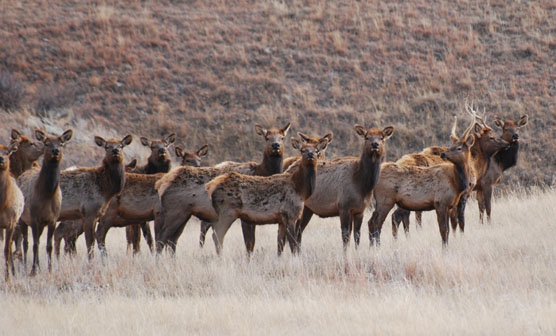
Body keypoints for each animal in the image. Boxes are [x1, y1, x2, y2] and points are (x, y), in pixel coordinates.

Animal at [17, 130, 73, 274]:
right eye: (46, 143)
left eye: (61, 143)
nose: (55, 151)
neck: (47, 195)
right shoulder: (34, 218)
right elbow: (35, 245)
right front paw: (33, 271)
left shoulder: (53, 219)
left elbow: (49, 246)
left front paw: (49, 269)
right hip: (22, 218)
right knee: (26, 243)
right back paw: (25, 266)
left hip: (41, 224)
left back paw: (38, 265)